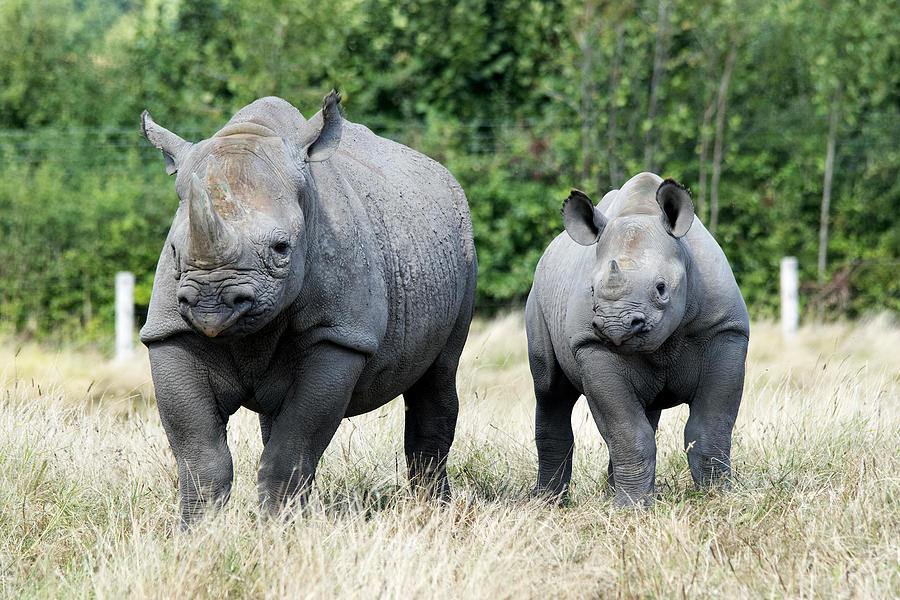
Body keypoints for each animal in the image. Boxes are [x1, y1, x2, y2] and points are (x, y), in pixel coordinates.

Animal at [141, 91, 478, 528]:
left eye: (282, 248)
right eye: (174, 251)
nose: (212, 303)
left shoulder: (338, 337)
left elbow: (293, 449)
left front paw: (278, 533)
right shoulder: (170, 331)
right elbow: (200, 456)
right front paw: (197, 536)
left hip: (464, 248)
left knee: (438, 375)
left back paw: (434, 514)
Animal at [524, 173, 748, 506]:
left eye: (661, 288)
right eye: (592, 290)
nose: (614, 326)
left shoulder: (726, 331)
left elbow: (710, 428)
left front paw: (718, 499)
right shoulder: (591, 345)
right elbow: (627, 431)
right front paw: (631, 509)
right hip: (538, 296)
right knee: (550, 391)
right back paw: (549, 503)